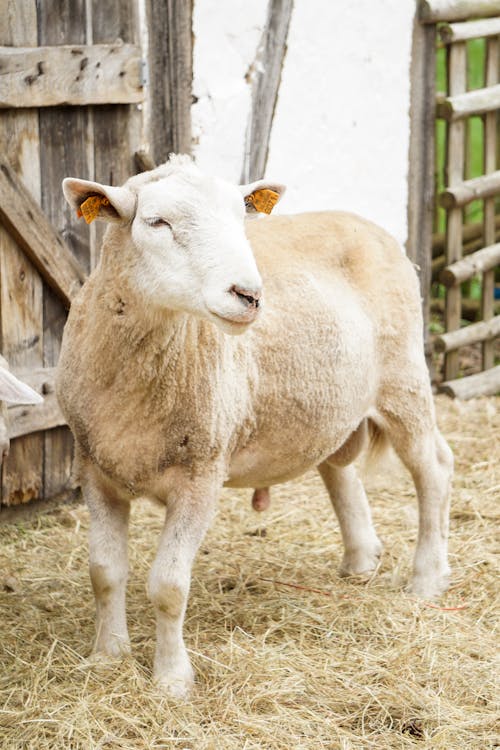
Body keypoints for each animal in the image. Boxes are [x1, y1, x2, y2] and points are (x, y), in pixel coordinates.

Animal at [57, 156, 454, 704]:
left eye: (239, 217)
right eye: (157, 222)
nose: (248, 294)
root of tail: (365, 222)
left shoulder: (200, 476)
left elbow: (168, 586)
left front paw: (172, 680)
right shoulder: (95, 469)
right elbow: (104, 573)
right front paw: (106, 657)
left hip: (403, 379)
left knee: (433, 468)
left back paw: (427, 577)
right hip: (327, 398)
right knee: (338, 468)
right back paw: (359, 559)